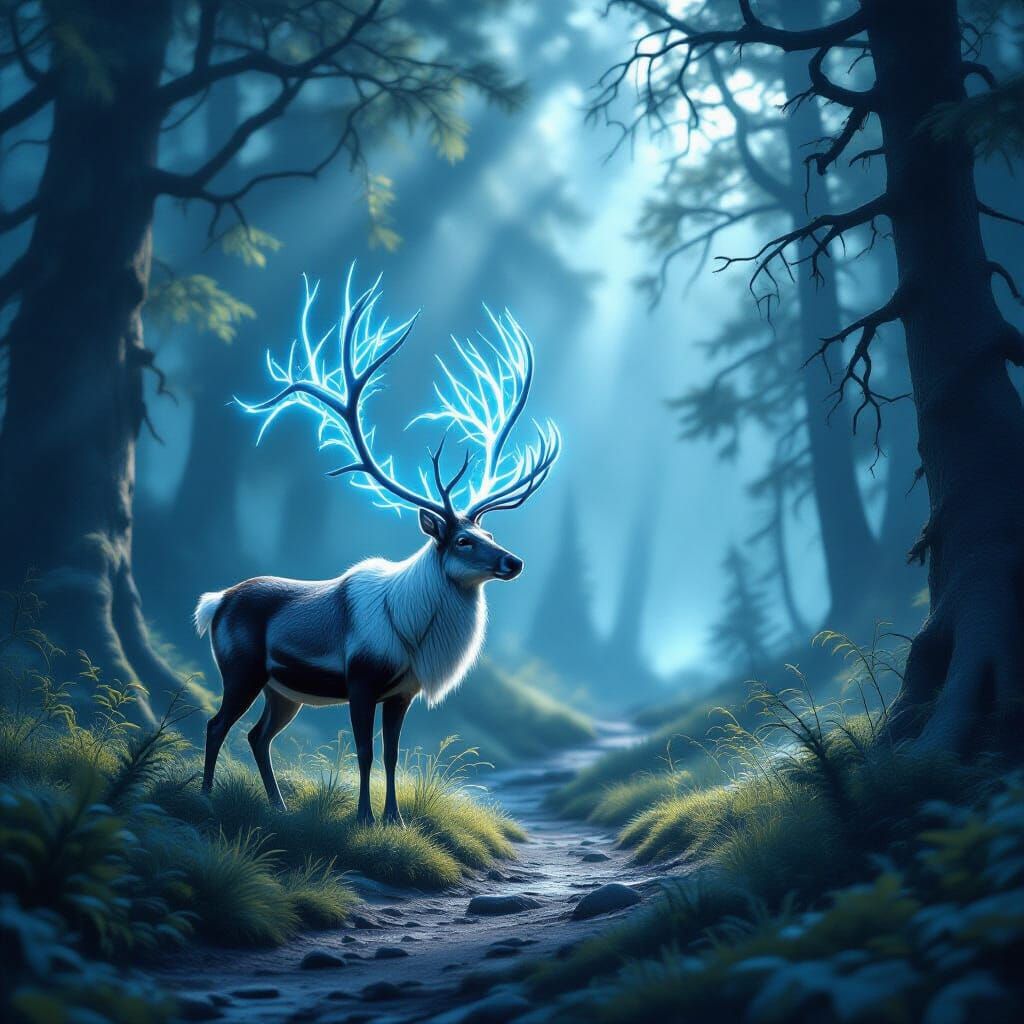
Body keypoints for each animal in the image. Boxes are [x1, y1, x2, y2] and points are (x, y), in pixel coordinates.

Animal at [193, 265, 560, 825]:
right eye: (462, 539)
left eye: (490, 534)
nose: (513, 561)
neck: (413, 631)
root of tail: (215, 602)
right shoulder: (361, 679)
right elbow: (364, 752)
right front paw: (364, 817)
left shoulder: (401, 691)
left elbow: (392, 755)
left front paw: (394, 818)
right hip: (242, 669)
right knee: (218, 725)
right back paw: (209, 796)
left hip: (282, 690)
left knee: (258, 736)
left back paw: (278, 806)